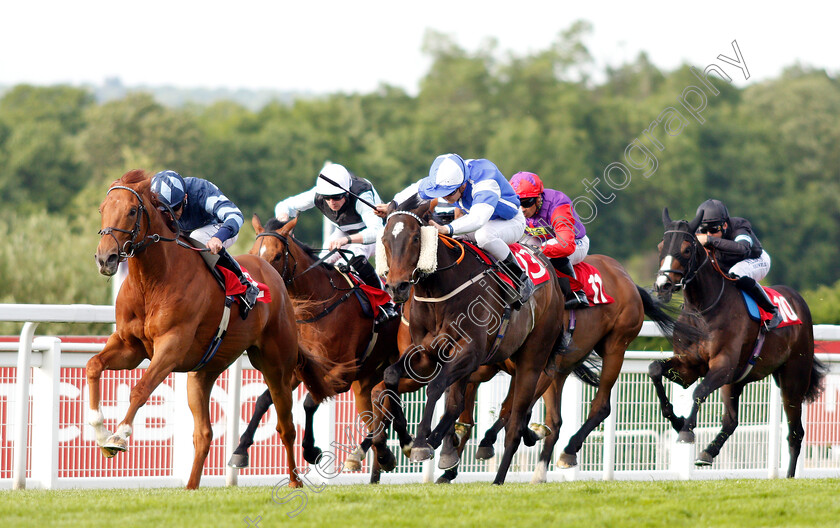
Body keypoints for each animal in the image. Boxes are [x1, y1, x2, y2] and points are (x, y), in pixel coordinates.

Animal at [85, 169, 334, 486]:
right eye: (102, 209)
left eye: (131, 211)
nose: (105, 258)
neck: (152, 280)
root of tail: (273, 276)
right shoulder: (130, 346)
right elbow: (94, 365)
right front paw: (99, 430)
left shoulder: (171, 346)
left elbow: (140, 390)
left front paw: (119, 436)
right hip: (203, 372)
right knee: (204, 434)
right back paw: (191, 487)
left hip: (276, 365)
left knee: (286, 425)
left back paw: (294, 480)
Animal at [230, 216, 404, 482]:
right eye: (252, 252)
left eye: (278, 256)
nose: (262, 285)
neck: (319, 305)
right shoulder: (296, 369)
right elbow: (263, 400)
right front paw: (240, 450)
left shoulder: (342, 373)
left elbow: (310, 402)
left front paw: (311, 450)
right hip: (368, 378)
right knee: (380, 406)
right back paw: (386, 453)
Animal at [372, 199, 564, 486]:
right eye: (385, 239)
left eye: (416, 238)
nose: (397, 287)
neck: (438, 292)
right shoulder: (425, 354)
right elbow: (391, 375)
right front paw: (408, 440)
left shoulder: (470, 352)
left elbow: (436, 387)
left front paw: (421, 442)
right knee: (461, 406)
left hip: (532, 362)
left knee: (515, 423)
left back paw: (497, 477)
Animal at [436, 255, 684, 482]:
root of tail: (627, 278)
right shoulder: (483, 367)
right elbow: (466, 414)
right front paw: (449, 466)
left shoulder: (535, 368)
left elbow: (509, 410)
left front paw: (488, 443)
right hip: (562, 371)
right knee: (555, 420)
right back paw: (538, 469)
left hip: (615, 347)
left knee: (601, 405)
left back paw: (568, 451)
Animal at [648, 206, 824, 474]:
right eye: (660, 246)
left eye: (687, 249)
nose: (663, 285)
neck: (703, 309)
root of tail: (798, 300)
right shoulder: (689, 365)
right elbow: (655, 369)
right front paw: (677, 420)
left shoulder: (723, 365)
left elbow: (699, 390)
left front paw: (686, 431)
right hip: (736, 381)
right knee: (731, 421)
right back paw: (708, 453)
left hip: (793, 379)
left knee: (796, 433)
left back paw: (789, 476)